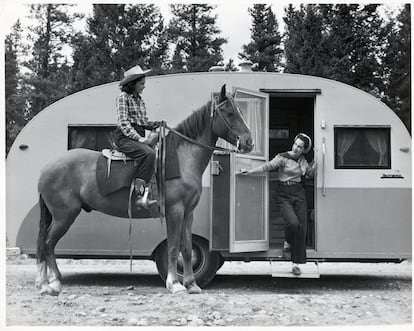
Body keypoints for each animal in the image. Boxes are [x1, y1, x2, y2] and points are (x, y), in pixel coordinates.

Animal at [35, 85, 254, 296]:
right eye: (229, 112)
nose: (249, 142)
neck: (181, 159)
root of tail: (46, 169)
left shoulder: (188, 212)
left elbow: (186, 247)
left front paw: (192, 284)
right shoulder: (175, 210)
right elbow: (173, 247)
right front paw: (175, 285)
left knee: (44, 243)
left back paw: (43, 283)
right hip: (64, 216)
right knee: (48, 242)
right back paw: (54, 284)